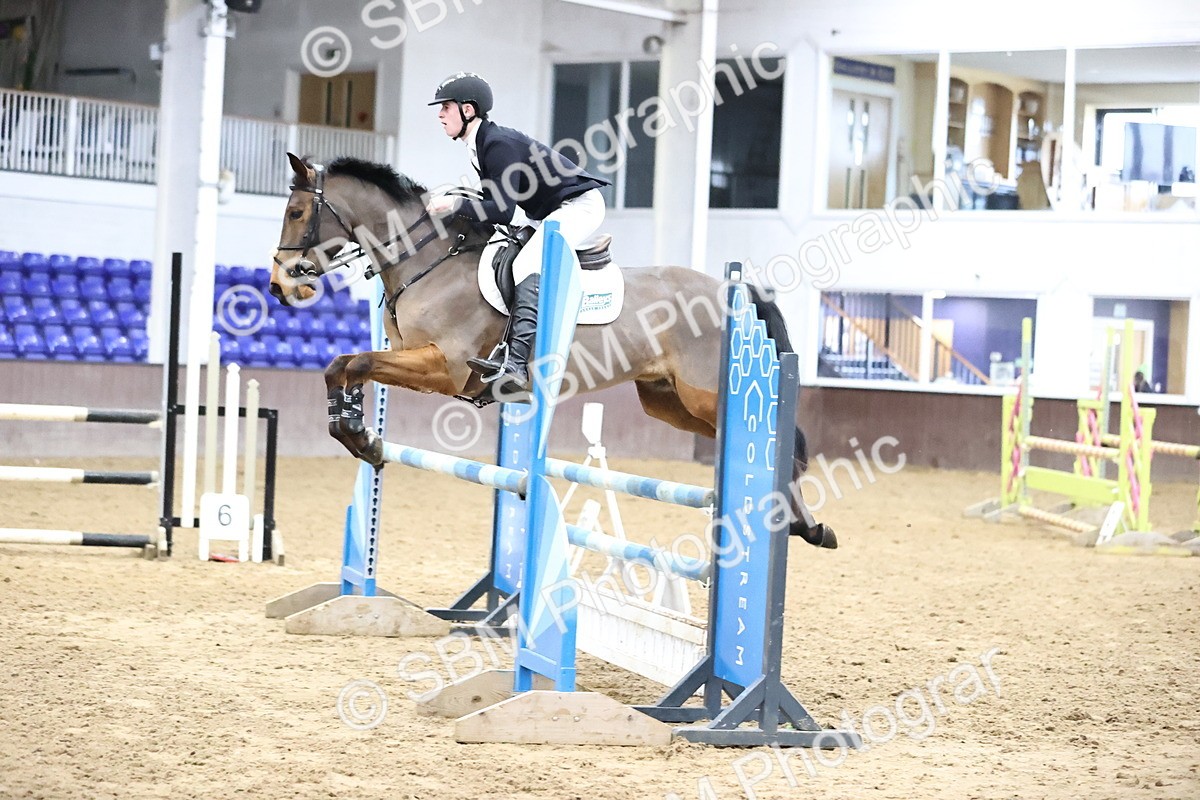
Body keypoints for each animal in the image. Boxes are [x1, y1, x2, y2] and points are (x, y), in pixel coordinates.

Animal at [269, 153, 836, 549]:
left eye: (296, 212)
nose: (279, 286)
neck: (428, 260)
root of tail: (733, 291)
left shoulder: (443, 367)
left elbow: (358, 362)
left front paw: (359, 436)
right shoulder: (410, 356)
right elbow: (342, 367)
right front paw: (357, 434)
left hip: (706, 396)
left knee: (776, 445)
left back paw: (804, 525)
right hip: (669, 402)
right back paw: (800, 525)